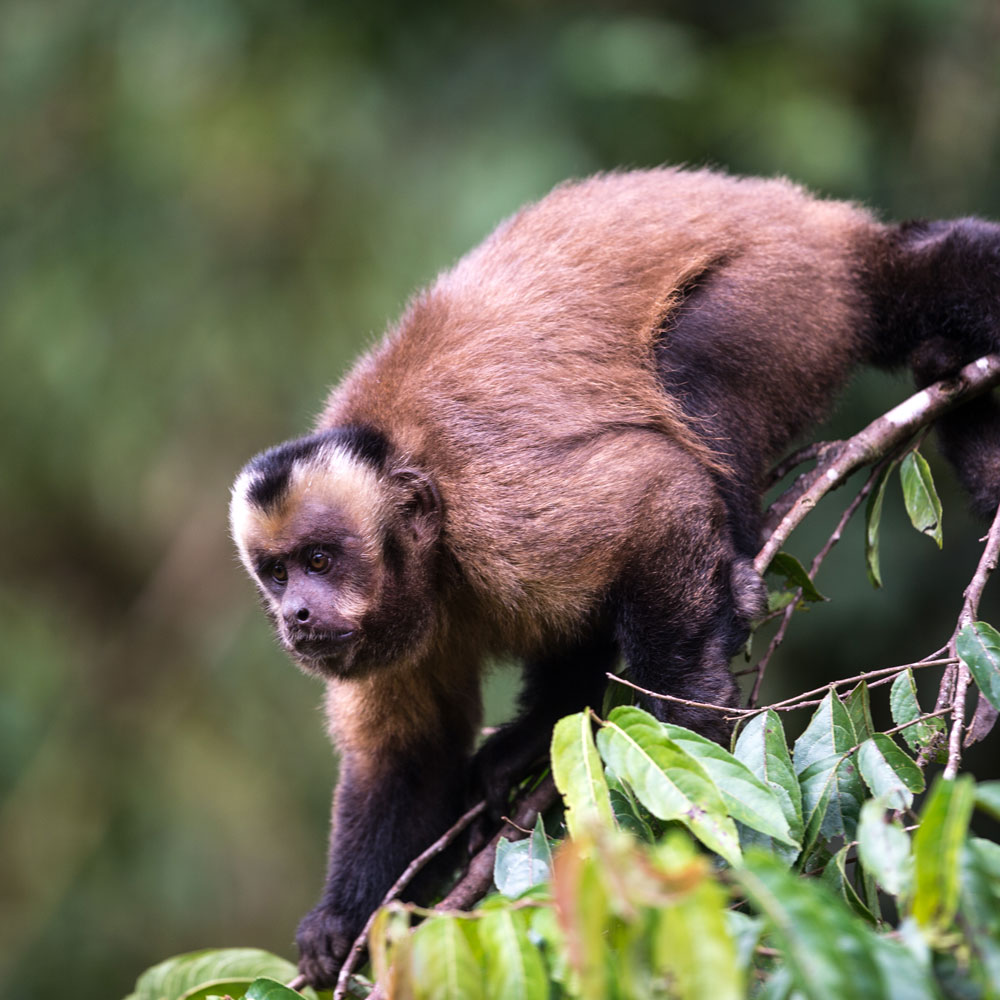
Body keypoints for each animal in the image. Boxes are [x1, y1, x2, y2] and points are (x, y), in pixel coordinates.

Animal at [228, 167, 1000, 986]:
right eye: (276, 573)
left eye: (319, 560)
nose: (296, 614)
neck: (434, 562)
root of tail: (830, 229)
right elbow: (408, 758)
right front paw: (343, 920)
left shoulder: (495, 512)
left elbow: (653, 495)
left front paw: (686, 708)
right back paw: (539, 729)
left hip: (788, 298)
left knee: (692, 375)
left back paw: (736, 562)